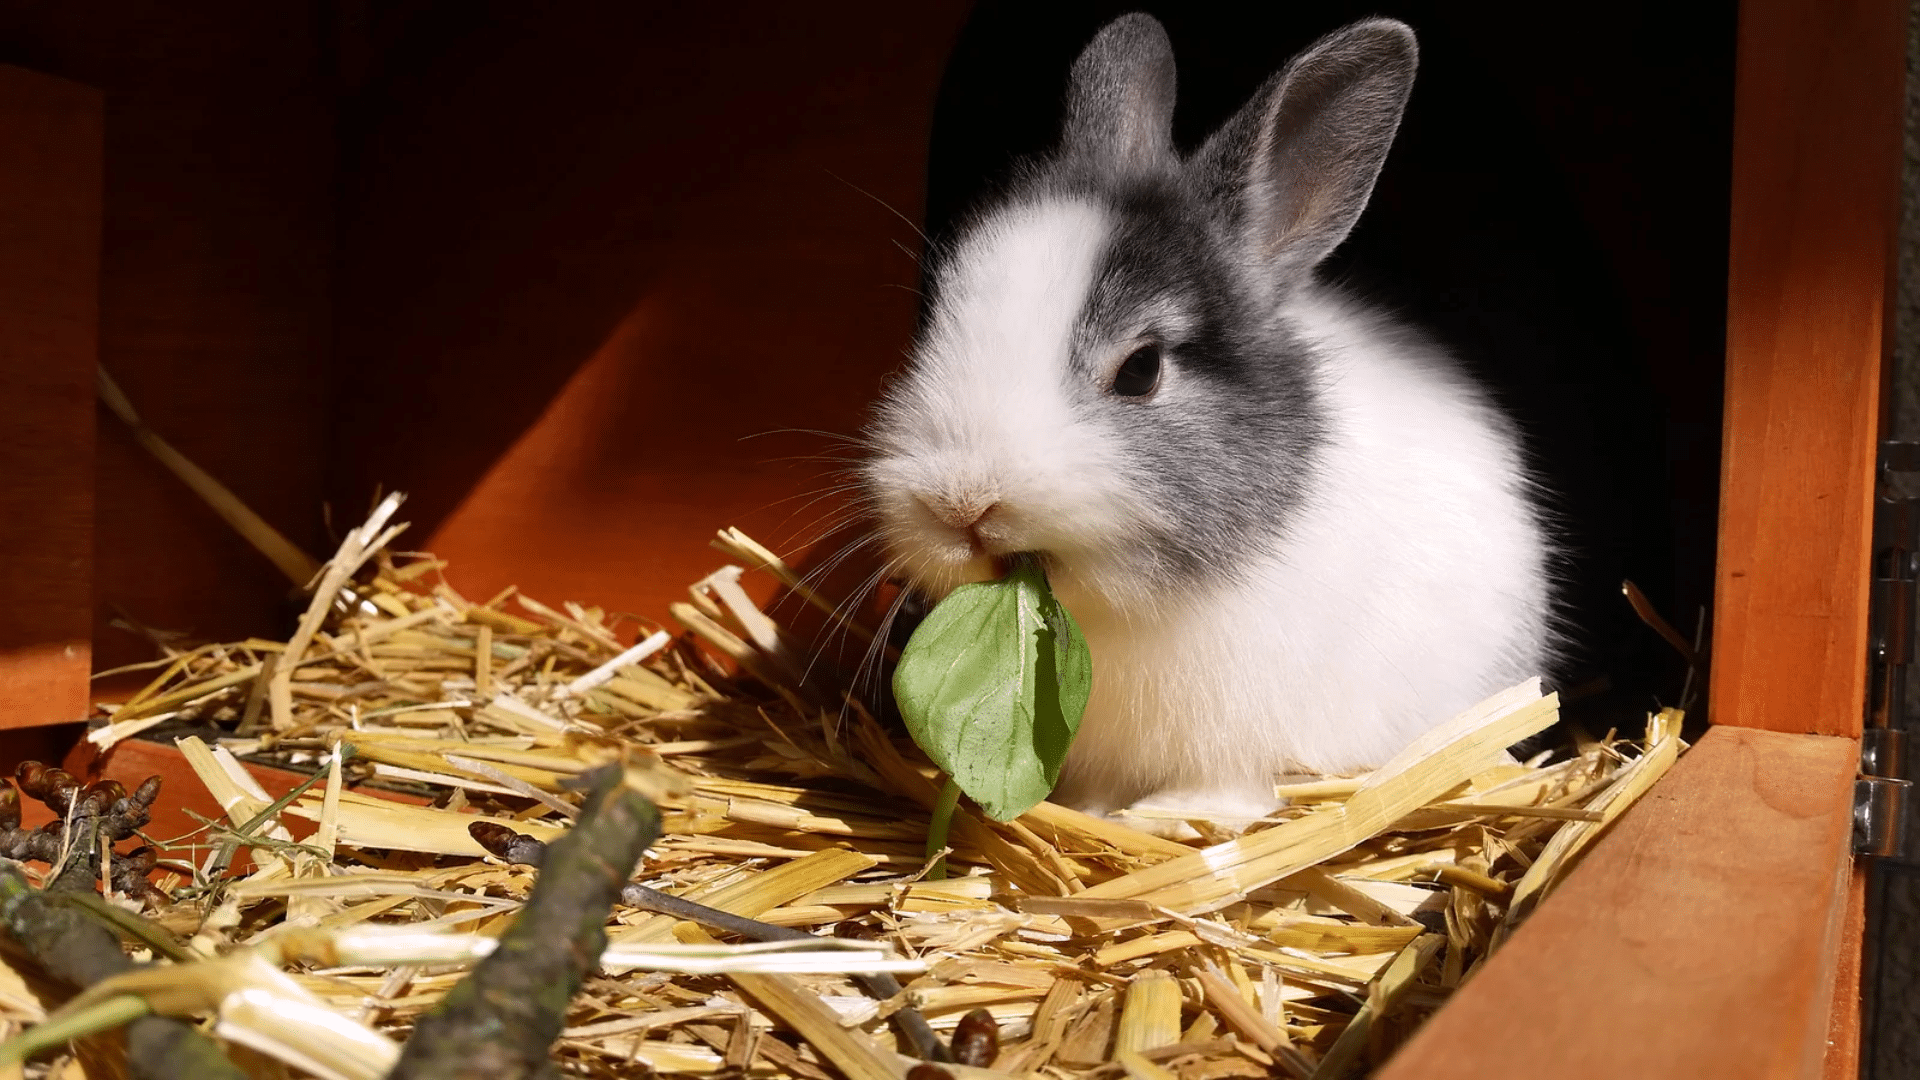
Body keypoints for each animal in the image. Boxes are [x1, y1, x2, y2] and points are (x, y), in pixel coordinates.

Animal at [860, 14, 1553, 829]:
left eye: (1141, 370)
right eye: (936, 319)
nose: (960, 504)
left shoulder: (1244, 740)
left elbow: (1230, 790)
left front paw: (1159, 817)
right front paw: (1097, 812)